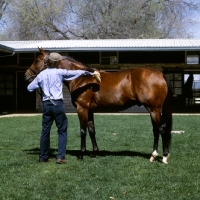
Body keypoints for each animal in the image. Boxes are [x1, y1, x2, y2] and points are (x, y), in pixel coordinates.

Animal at [24, 48, 173, 164]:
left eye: (37, 60)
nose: (26, 75)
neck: (81, 79)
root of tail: (160, 74)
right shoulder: (90, 110)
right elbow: (92, 130)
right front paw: (95, 153)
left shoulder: (82, 108)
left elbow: (83, 131)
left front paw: (81, 155)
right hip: (152, 110)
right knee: (156, 130)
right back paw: (153, 156)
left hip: (153, 109)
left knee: (162, 129)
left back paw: (164, 157)